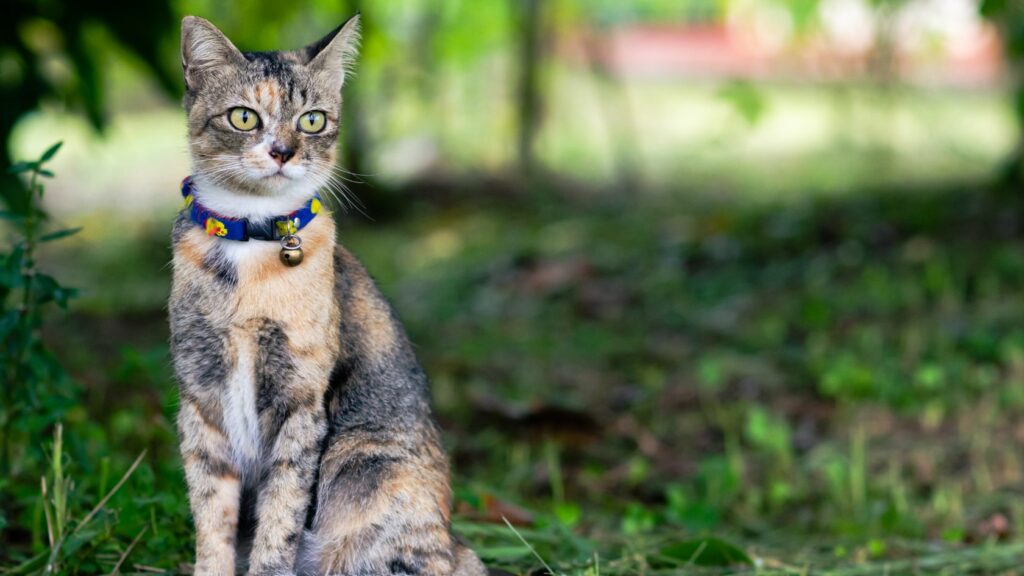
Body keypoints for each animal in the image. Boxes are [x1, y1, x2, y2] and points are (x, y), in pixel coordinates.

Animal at [168, 13, 487, 573]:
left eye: (312, 121)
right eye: (244, 117)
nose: (283, 151)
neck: (251, 246)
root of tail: (453, 545)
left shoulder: (302, 403)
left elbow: (281, 513)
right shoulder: (199, 398)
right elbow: (211, 513)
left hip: (362, 462)